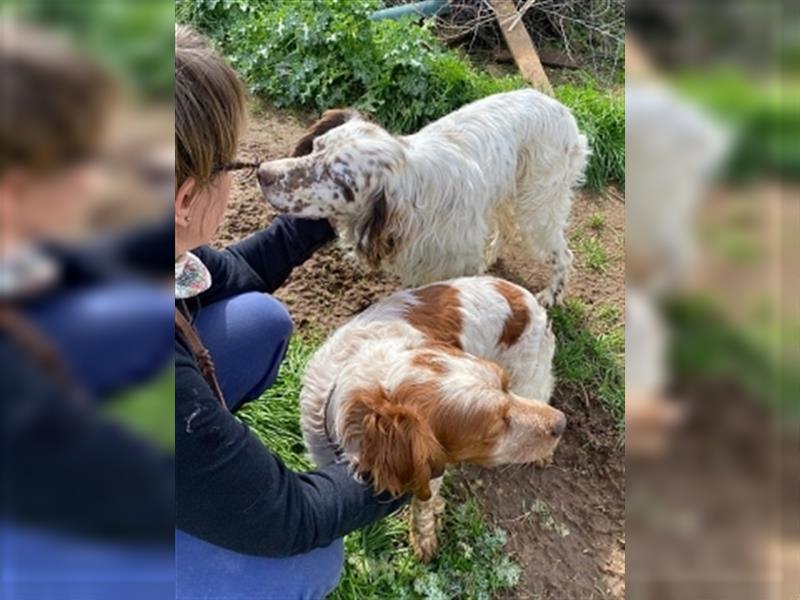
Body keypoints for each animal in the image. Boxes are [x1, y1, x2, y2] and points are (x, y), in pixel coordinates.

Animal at [260, 91, 592, 308]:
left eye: (338, 178)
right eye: (317, 146)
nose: (264, 173)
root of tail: (562, 109)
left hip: (537, 209)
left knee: (563, 254)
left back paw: (551, 295)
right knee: (506, 229)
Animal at [300, 276, 568, 556]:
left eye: (504, 385)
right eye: (494, 429)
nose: (562, 423)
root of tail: (523, 296)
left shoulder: (432, 468)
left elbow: (423, 504)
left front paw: (424, 537)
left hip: (528, 378)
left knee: (542, 391)